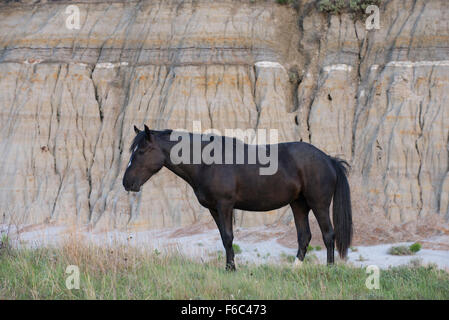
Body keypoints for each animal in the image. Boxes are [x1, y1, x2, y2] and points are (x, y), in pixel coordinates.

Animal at [123, 125, 354, 270]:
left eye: (142, 151)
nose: (127, 182)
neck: (207, 163)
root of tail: (329, 159)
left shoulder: (225, 205)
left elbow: (228, 236)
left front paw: (231, 269)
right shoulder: (214, 209)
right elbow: (224, 238)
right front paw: (229, 267)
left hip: (319, 204)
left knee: (328, 235)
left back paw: (330, 269)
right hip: (298, 204)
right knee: (304, 236)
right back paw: (294, 269)